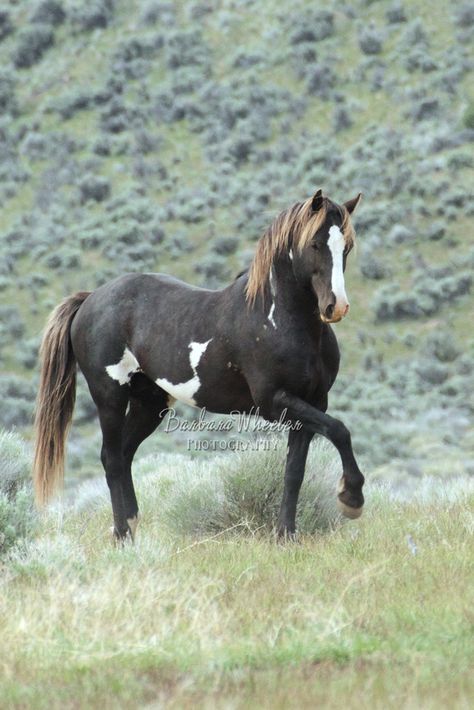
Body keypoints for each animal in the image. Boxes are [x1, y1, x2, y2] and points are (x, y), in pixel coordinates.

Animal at [33, 186, 364, 544]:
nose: (336, 307)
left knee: (123, 454)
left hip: (149, 403)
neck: (275, 319)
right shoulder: (274, 402)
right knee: (110, 458)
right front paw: (351, 499)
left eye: (346, 246)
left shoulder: (312, 402)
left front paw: (286, 536)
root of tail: (91, 299)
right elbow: (339, 430)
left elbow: (295, 471)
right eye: (314, 243)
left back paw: (133, 526)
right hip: (109, 395)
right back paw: (122, 535)